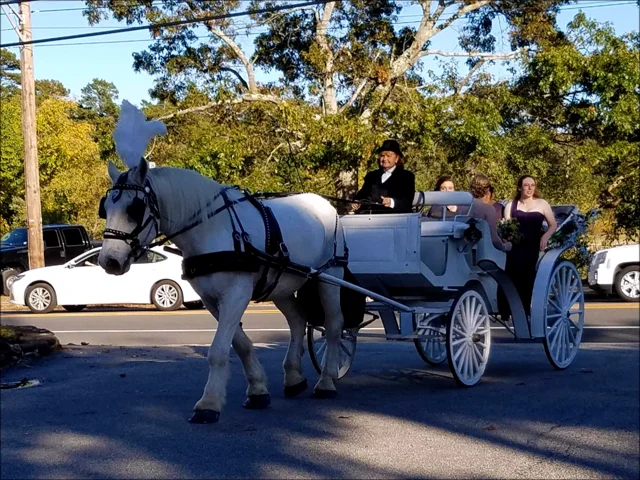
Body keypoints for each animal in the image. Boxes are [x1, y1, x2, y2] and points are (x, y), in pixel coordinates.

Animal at [97, 101, 348, 424]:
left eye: (135, 208)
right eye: (105, 209)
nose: (110, 261)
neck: (212, 229)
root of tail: (325, 203)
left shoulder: (237, 294)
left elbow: (218, 350)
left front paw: (209, 404)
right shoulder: (211, 299)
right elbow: (239, 344)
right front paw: (257, 389)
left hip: (329, 277)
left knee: (333, 326)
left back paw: (326, 381)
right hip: (281, 284)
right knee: (298, 320)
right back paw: (294, 377)